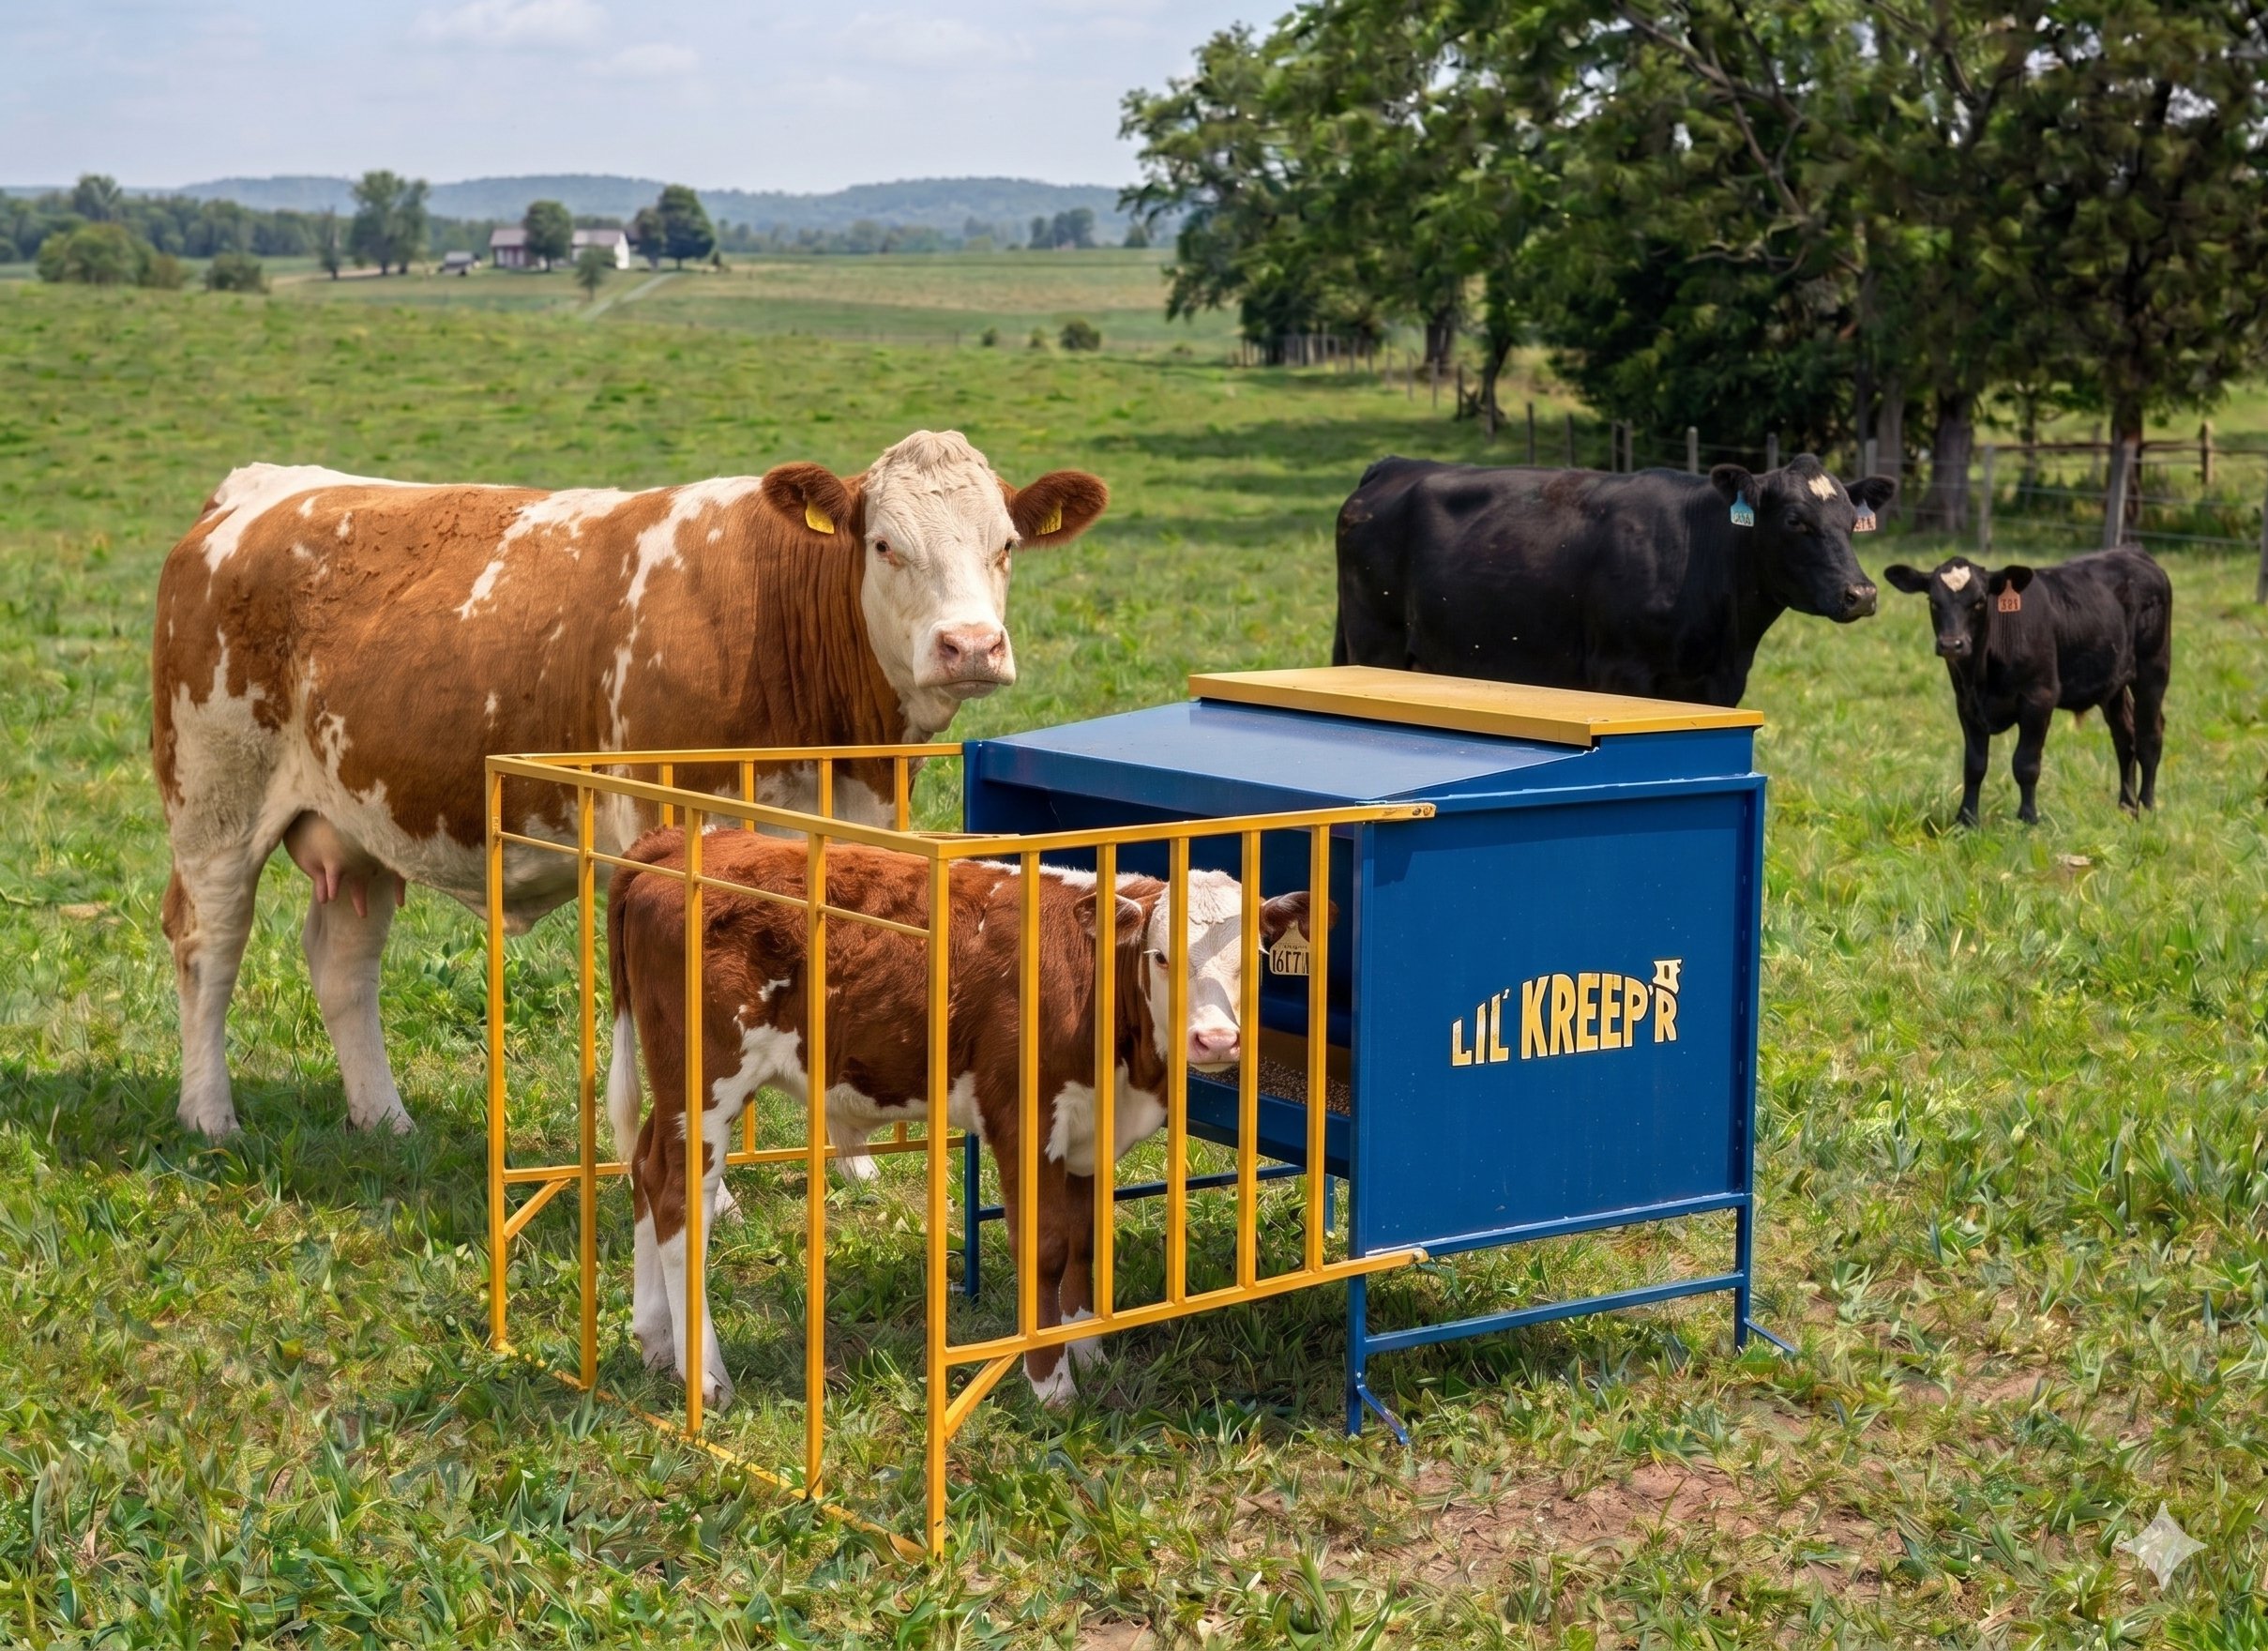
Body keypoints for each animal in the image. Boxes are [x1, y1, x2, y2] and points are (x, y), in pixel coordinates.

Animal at [151, 432, 1108, 1139]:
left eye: (1006, 546)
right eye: (885, 545)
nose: (971, 645)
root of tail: (256, 490)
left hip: (363, 816)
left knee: (343, 960)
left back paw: (384, 1120)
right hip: (214, 799)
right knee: (209, 942)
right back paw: (209, 1116)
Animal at [604, 828, 1326, 1409]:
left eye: (1255, 961)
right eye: (1161, 957)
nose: (1215, 1040)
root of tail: (675, 844)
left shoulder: (1090, 1127)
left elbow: (1086, 1237)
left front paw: (1087, 1346)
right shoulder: (1021, 1119)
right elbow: (1047, 1246)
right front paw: (1050, 1381)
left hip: (677, 1092)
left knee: (646, 1169)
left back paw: (656, 1340)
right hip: (705, 1079)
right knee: (679, 1199)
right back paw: (706, 1377)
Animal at [1333, 455, 1899, 705]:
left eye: (1851, 522)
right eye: (1795, 522)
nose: (1862, 593)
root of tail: (1397, 465)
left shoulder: (1719, 688)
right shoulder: (1621, 674)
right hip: (1375, 643)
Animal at [1881, 548, 2172, 826]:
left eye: (1979, 601)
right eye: (1933, 601)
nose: (1952, 644)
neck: (1981, 676)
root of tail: (2132, 552)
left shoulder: (2039, 699)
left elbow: (2026, 763)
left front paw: (2028, 818)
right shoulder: (1966, 704)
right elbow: (1974, 765)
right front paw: (1966, 819)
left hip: (2153, 670)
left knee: (2149, 735)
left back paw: (2147, 806)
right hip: (2113, 683)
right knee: (2125, 736)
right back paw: (2127, 808)